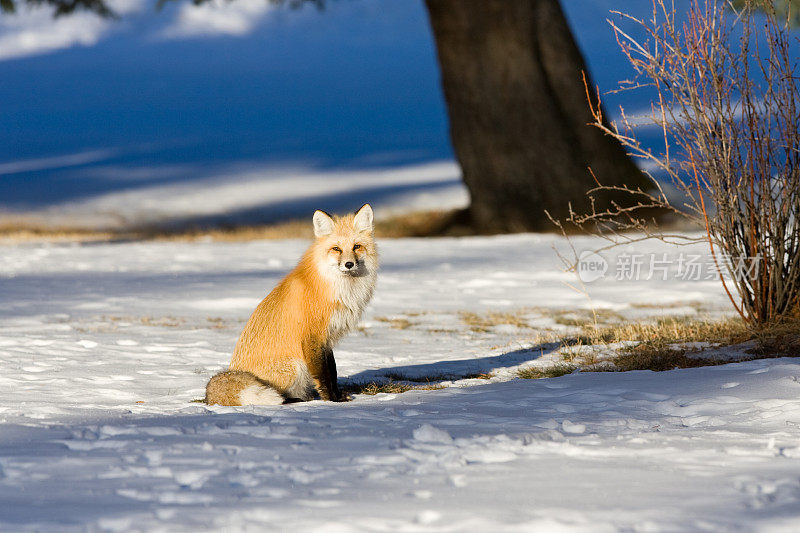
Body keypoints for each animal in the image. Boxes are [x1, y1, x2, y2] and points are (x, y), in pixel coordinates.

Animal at [206, 204, 382, 404]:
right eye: (336, 248)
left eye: (357, 246)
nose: (349, 264)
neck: (338, 289)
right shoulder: (313, 336)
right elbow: (324, 375)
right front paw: (331, 401)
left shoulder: (327, 338)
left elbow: (334, 371)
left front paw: (338, 397)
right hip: (295, 365)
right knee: (281, 394)